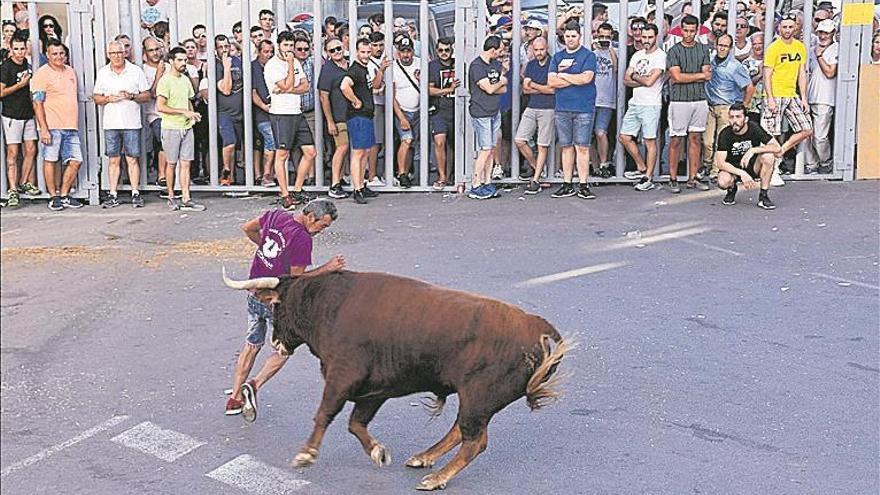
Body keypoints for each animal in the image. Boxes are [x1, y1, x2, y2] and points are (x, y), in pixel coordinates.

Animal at [223, 270, 576, 490]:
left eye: (277, 307)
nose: (276, 343)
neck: (327, 305)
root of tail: (537, 328)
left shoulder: (341, 377)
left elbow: (325, 414)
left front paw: (306, 454)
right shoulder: (372, 391)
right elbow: (356, 424)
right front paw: (378, 452)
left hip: (478, 397)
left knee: (475, 440)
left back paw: (437, 478)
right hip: (474, 398)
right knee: (461, 430)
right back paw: (424, 458)